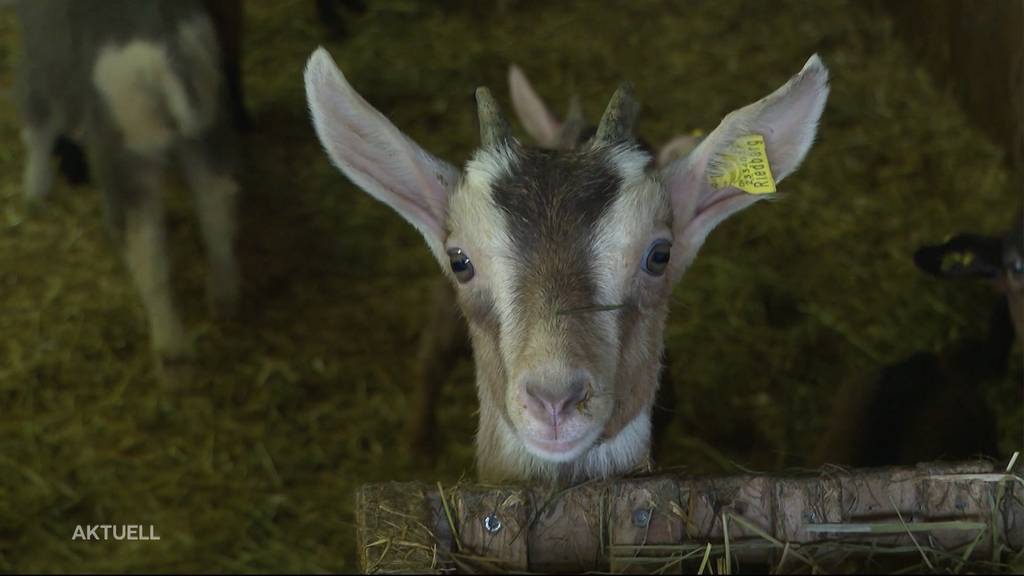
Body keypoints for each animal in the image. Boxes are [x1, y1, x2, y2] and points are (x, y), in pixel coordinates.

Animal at [15, 1, 239, 362]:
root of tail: (170, 49)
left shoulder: (40, 56)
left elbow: (37, 122)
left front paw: (35, 189)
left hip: (126, 145)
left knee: (144, 244)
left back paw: (169, 346)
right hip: (209, 124)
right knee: (217, 208)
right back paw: (224, 296)